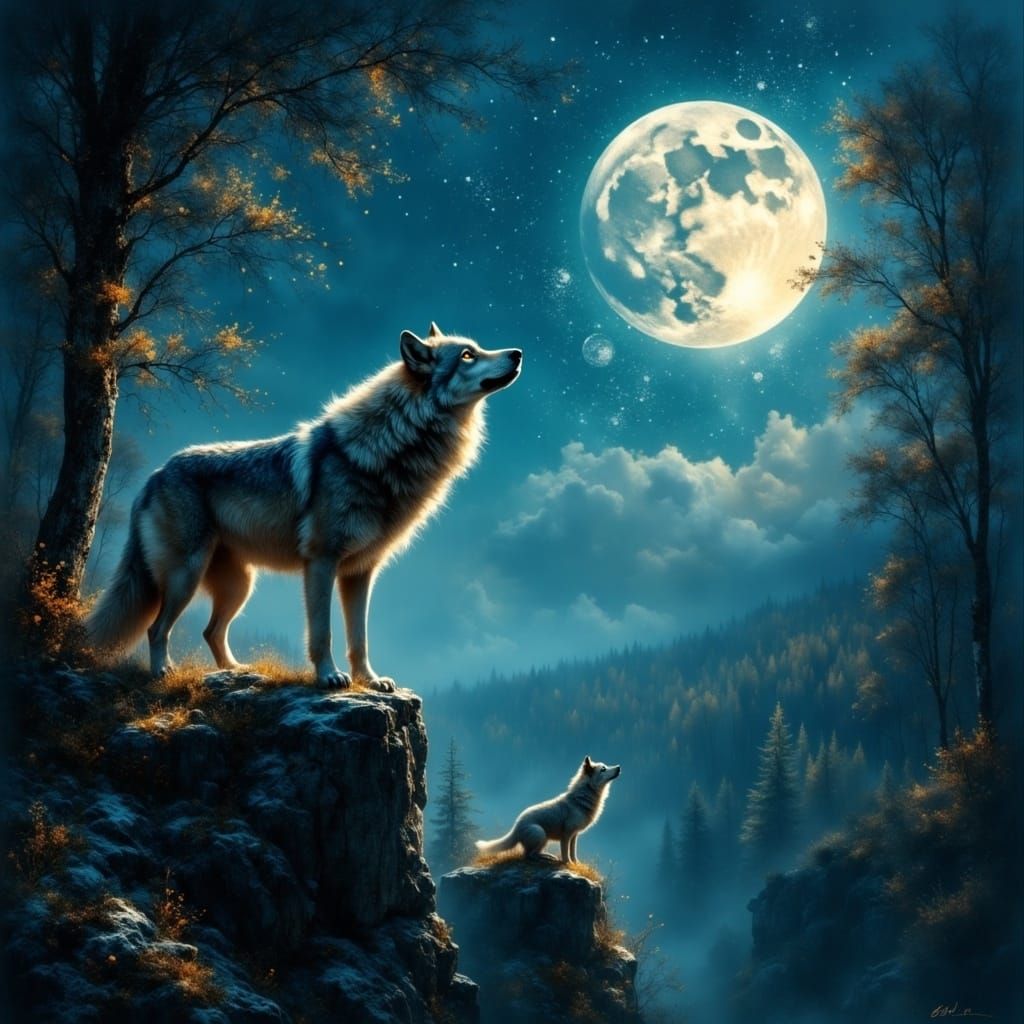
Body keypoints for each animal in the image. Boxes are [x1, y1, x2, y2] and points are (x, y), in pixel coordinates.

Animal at [87, 323, 521, 688]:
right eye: (467, 355)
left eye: (478, 348)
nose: (517, 352)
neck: (390, 446)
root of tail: (155, 474)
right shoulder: (321, 562)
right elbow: (323, 632)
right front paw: (330, 677)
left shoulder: (360, 572)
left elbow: (359, 638)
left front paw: (369, 680)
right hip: (185, 576)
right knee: (157, 628)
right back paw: (164, 671)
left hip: (239, 585)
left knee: (210, 631)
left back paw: (236, 672)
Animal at [475, 756, 621, 863]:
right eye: (603, 769)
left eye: (606, 766)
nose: (619, 767)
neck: (581, 798)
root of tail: (516, 827)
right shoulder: (566, 834)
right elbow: (565, 854)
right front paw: (567, 864)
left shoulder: (575, 835)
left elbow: (573, 852)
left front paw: (576, 864)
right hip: (541, 834)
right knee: (528, 855)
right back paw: (546, 858)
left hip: (544, 840)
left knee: (530, 853)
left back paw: (547, 856)